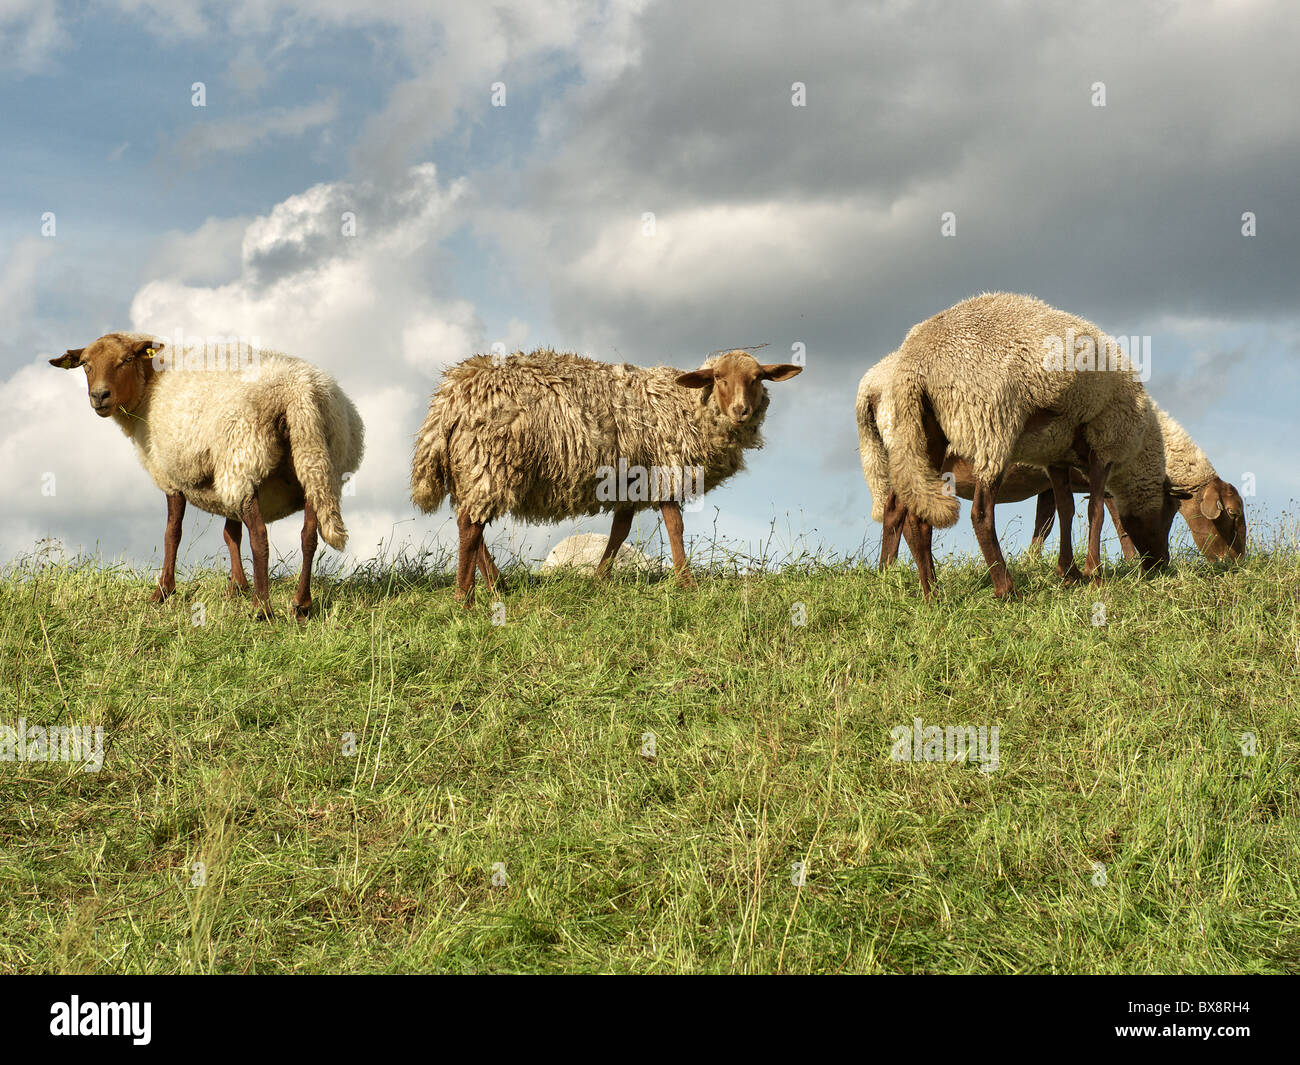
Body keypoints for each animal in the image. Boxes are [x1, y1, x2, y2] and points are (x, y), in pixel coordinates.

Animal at [50, 332, 364, 616]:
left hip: (243, 457)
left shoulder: (172, 476)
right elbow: (231, 534)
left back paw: (262, 608)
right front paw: (236, 587)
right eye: (86, 364)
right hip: (314, 467)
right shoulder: (222, 478)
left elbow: (172, 534)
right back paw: (301, 605)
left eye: (126, 360)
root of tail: (299, 394)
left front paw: (163, 592)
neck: (150, 388)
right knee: (308, 536)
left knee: (260, 537)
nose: (99, 396)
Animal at [413, 348, 800, 603]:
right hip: (489, 460)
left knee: (471, 525)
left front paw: (599, 578)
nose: (740, 410)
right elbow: (675, 526)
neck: (686, 405)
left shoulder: (630, 482)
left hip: (470, 468)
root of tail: (451, 396)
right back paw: (464, 597)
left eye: (758, 378)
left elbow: (620, 530)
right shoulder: (663, 470)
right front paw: (686, 582)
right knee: (469, 527)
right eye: (719, 378)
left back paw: (497, 585)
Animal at [868, 295, 1185, 600]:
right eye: (1170, 510)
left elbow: (1066, 509)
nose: (1161, 564)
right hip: (991, 426)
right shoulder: (1104, 445)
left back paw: (931, 594)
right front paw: (1093, 574)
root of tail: (915, 364)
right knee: (980, 514)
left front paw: (1069, 573)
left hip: (921, 434)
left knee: (910, 513)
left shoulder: (1056, 454)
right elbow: (1097, 510)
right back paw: (1006, 589)